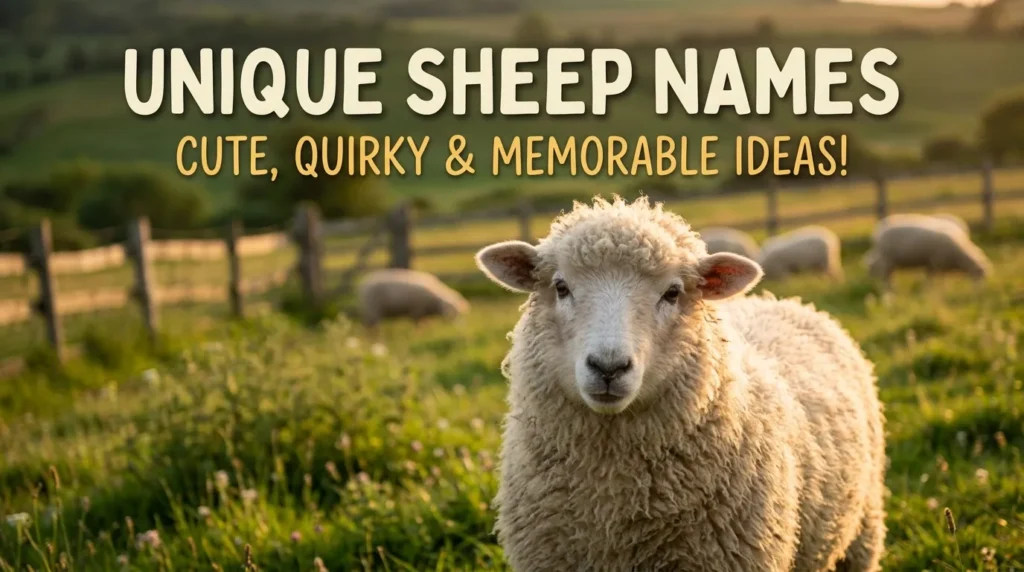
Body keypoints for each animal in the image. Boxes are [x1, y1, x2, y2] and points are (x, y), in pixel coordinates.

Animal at [474, 196, 886, 572]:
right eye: (561, 287)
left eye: (672, 293)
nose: (609, 367)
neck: (613, 497)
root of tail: (784, 301)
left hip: (862, 528)